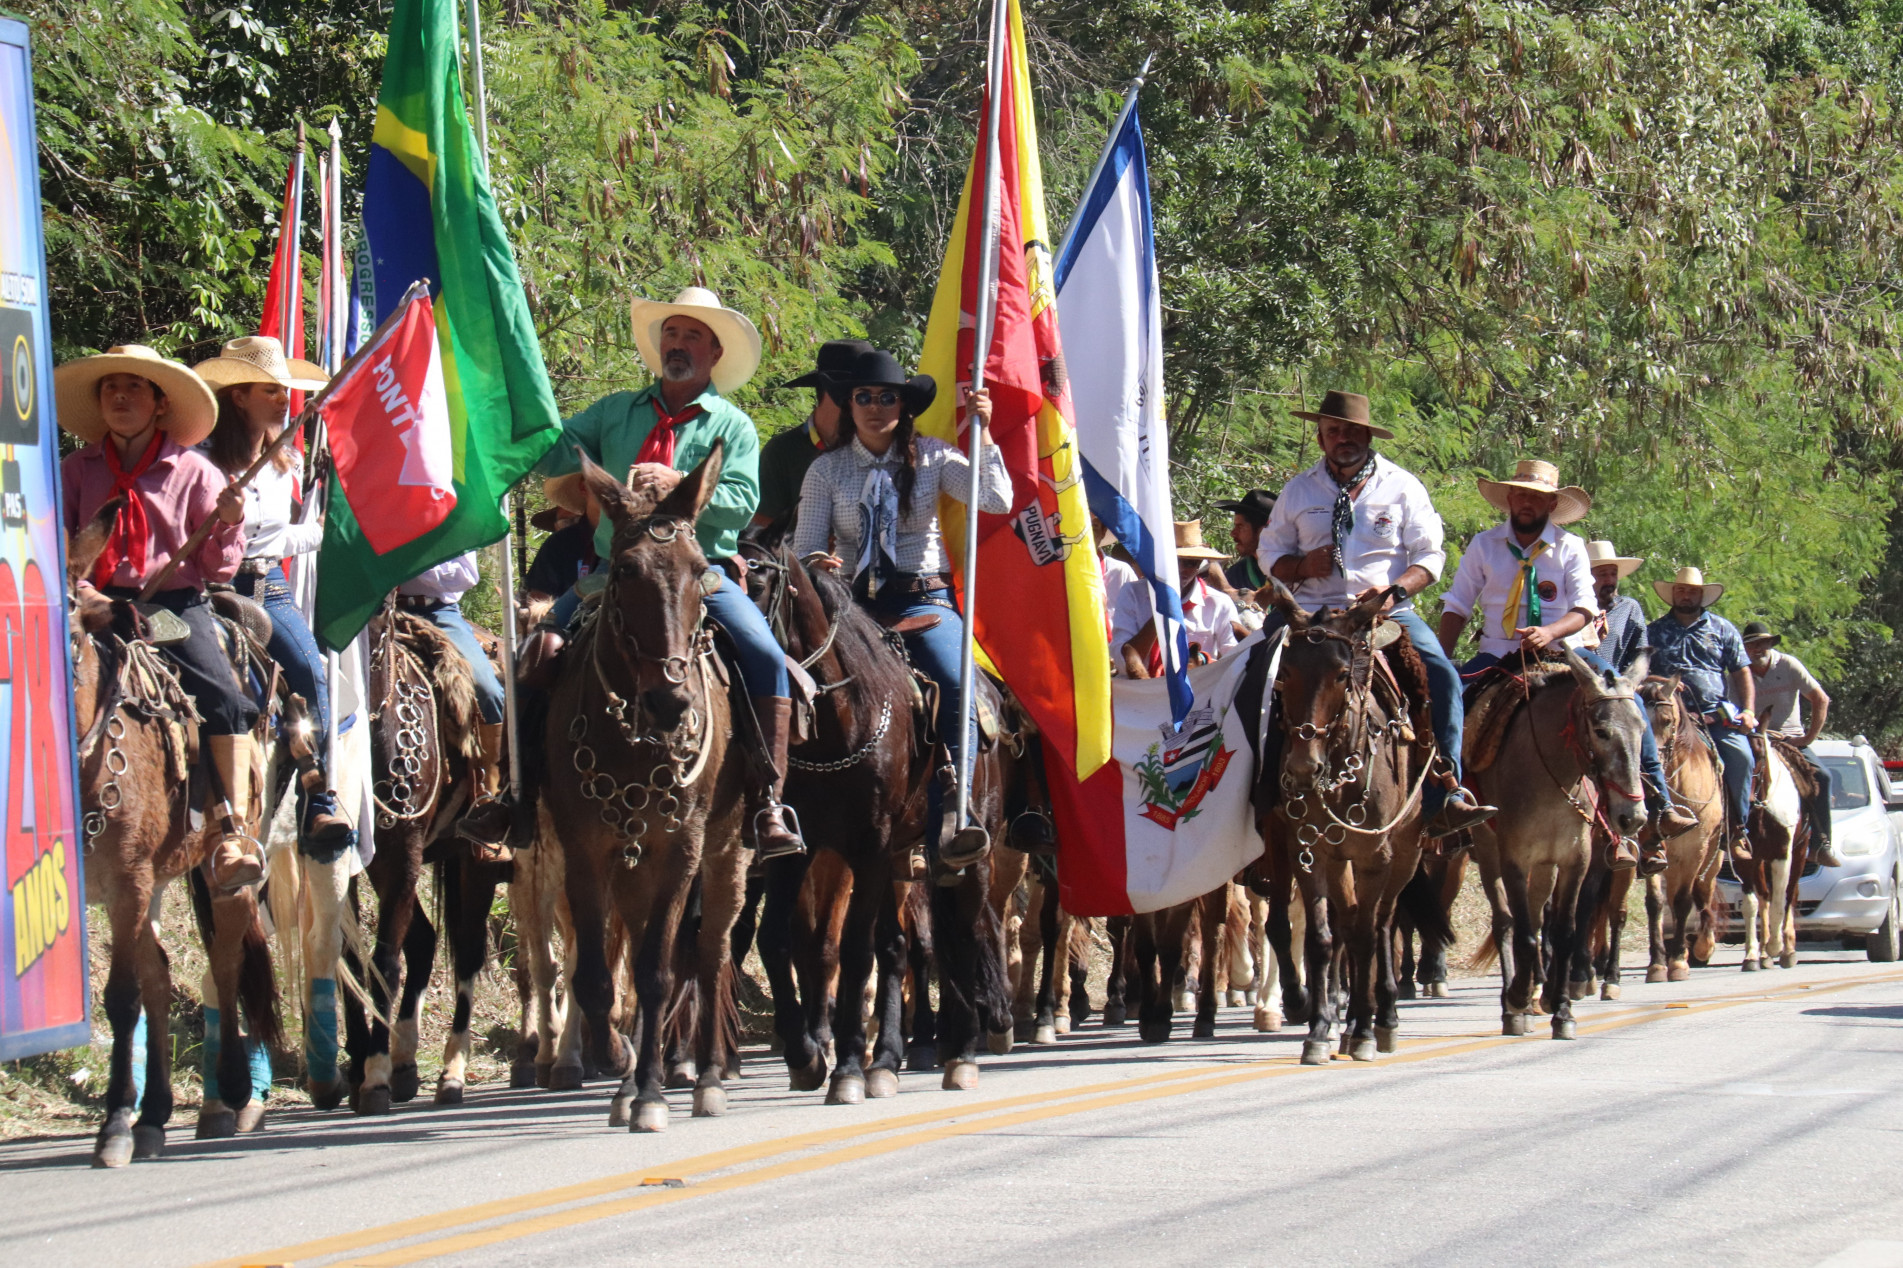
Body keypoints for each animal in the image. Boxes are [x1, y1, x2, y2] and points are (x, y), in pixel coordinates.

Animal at [66, 502, 279, 1165]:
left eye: (72, 632)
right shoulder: (115, 888)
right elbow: (143, 987)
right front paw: (129, 1116)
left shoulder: (128, 880)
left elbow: (121, 996)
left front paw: (113, 1122)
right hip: (158, 880)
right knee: (162, 976)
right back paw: (157, 1114)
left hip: (223, 861)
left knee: (226, 958)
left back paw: (231, 1089)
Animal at [544, 443, 749, 1127]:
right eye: (626, 571)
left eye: (700, 571)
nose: (671, 702)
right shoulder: (583, 851)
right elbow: (596, 973)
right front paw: (617, 1061)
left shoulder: (681, 848)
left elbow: (660, 972)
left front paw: (655, 1093)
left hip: (728, 851)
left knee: (710, 954)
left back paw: (707, 1076)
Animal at [1255, 578, 1431, 1058]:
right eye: (1284, 673)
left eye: (1340, 673)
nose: (1303, 769)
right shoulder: (1307, 849)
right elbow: (1320, 938)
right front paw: (1317, 1028)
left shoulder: (1376, 857)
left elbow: (1368, 935)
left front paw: (1366, 1030)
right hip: (1335, 859)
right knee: (1347, 922)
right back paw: (1344, 1019)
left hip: (1406, 853)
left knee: (1382, 923)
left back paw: (1380, 1018)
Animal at [1628, 677, 1735, 982]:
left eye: (1666, 720)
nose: (1643, 772)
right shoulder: (1651, 850)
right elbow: (1655, 903)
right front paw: (1657, 964)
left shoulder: (1694, 850)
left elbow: (1685, 901)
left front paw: (1677, 962)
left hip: (1713, 856)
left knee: (1702, 892)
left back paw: (1701, 947)